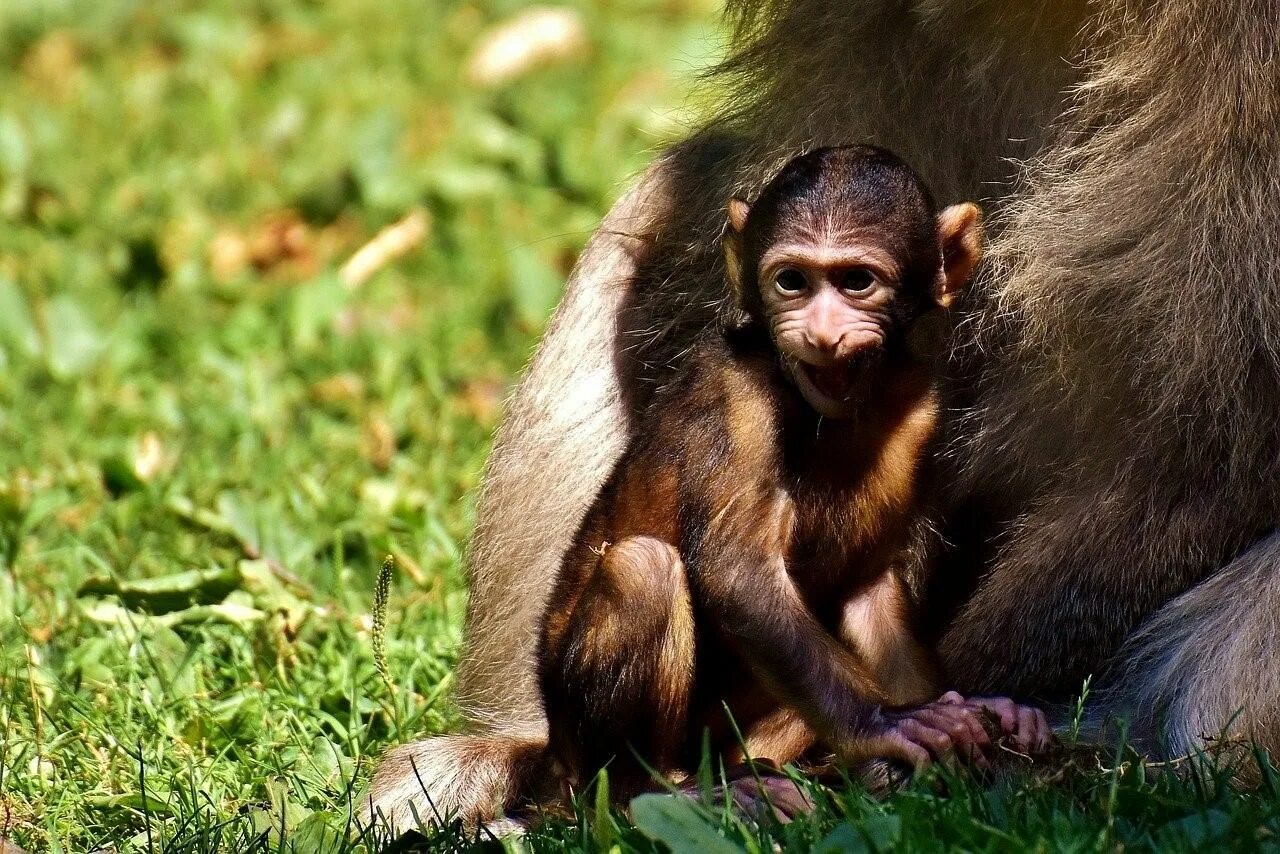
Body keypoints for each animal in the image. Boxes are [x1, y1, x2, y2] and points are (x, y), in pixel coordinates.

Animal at [535, 148, 1044, 804]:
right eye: (791, 282)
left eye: (857, 282)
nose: (821, 333)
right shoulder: (736, 398)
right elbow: (739, 574)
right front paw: (884, 724)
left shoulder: (920, 408)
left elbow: (870, 587)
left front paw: (969, 713)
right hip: (582, 750)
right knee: (640, 571)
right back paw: (657, 790)